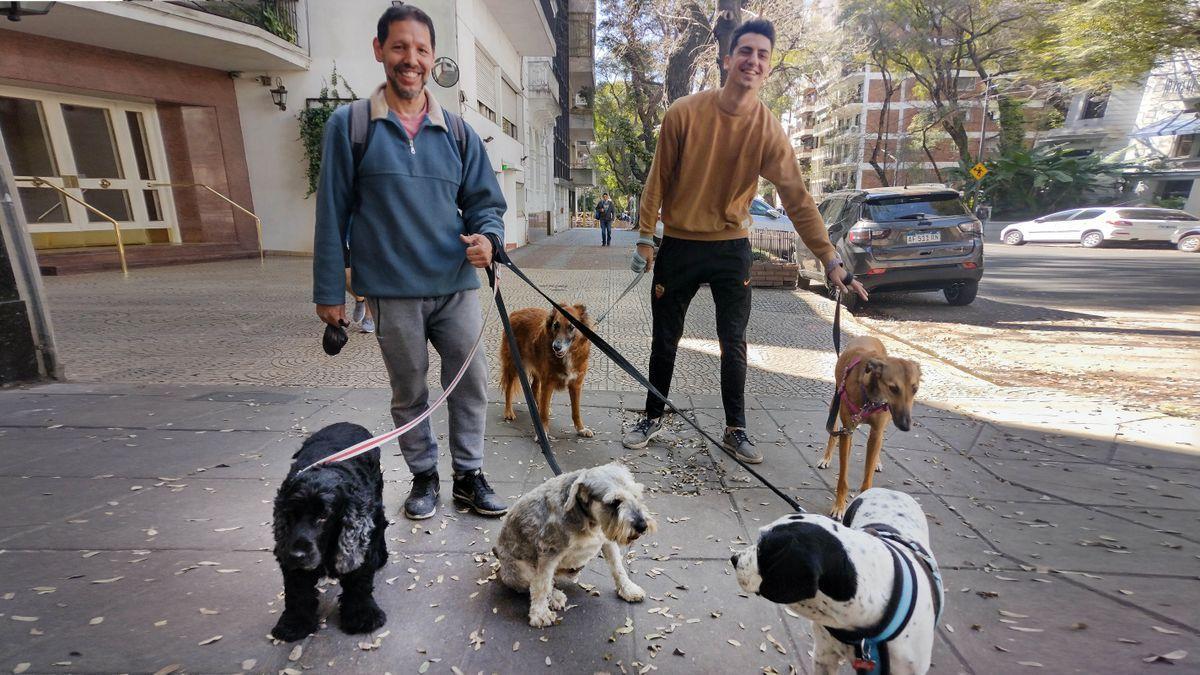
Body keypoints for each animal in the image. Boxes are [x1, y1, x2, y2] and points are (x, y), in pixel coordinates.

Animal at [492, 461, 657, 624]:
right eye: (614, 502)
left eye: (636, 494)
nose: (642, 526)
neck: (589, 520)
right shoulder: (549, 552)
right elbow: (542, 584)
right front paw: (540, 614)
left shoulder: (608, 542)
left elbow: (618, 568)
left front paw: (628, 589)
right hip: (520, 571)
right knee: (535, 584)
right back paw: (555, 596)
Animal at [499, 303, 592, 437]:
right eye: (556, 325)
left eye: (571, 327)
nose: (556, 347)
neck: (567, 356)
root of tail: (515, 313)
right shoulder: (548, 383)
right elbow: (543, 413)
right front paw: (542, 432)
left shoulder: (576, 385)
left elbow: (576, 411)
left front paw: (581, 429)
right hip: (514, 365)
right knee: (508, 388)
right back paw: (508, 411)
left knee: (534, 387)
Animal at [820, 333, 921, 514]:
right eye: (893, 388)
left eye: (915, 389)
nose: (906, 426)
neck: (870, 397)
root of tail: (868, 335)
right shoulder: (847, 430)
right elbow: (843, 478)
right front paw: (839, 506)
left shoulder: (876, 432)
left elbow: (867, 478)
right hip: (835, 404)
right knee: (833, 433)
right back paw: (826, 458)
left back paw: (877, 462)